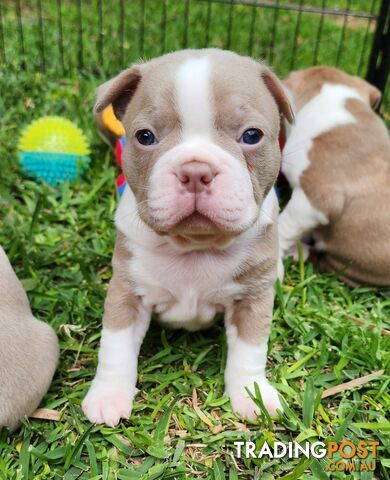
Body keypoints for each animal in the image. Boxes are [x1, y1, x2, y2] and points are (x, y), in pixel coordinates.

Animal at [84, 48, 294, 426]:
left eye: (252, 136)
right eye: (145, 137)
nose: (196, 171)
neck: (196, 244)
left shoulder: (252, 300)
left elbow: (250, 351)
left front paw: (251, 394)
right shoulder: (127, 293)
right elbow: (115, 346)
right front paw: (108, 396)